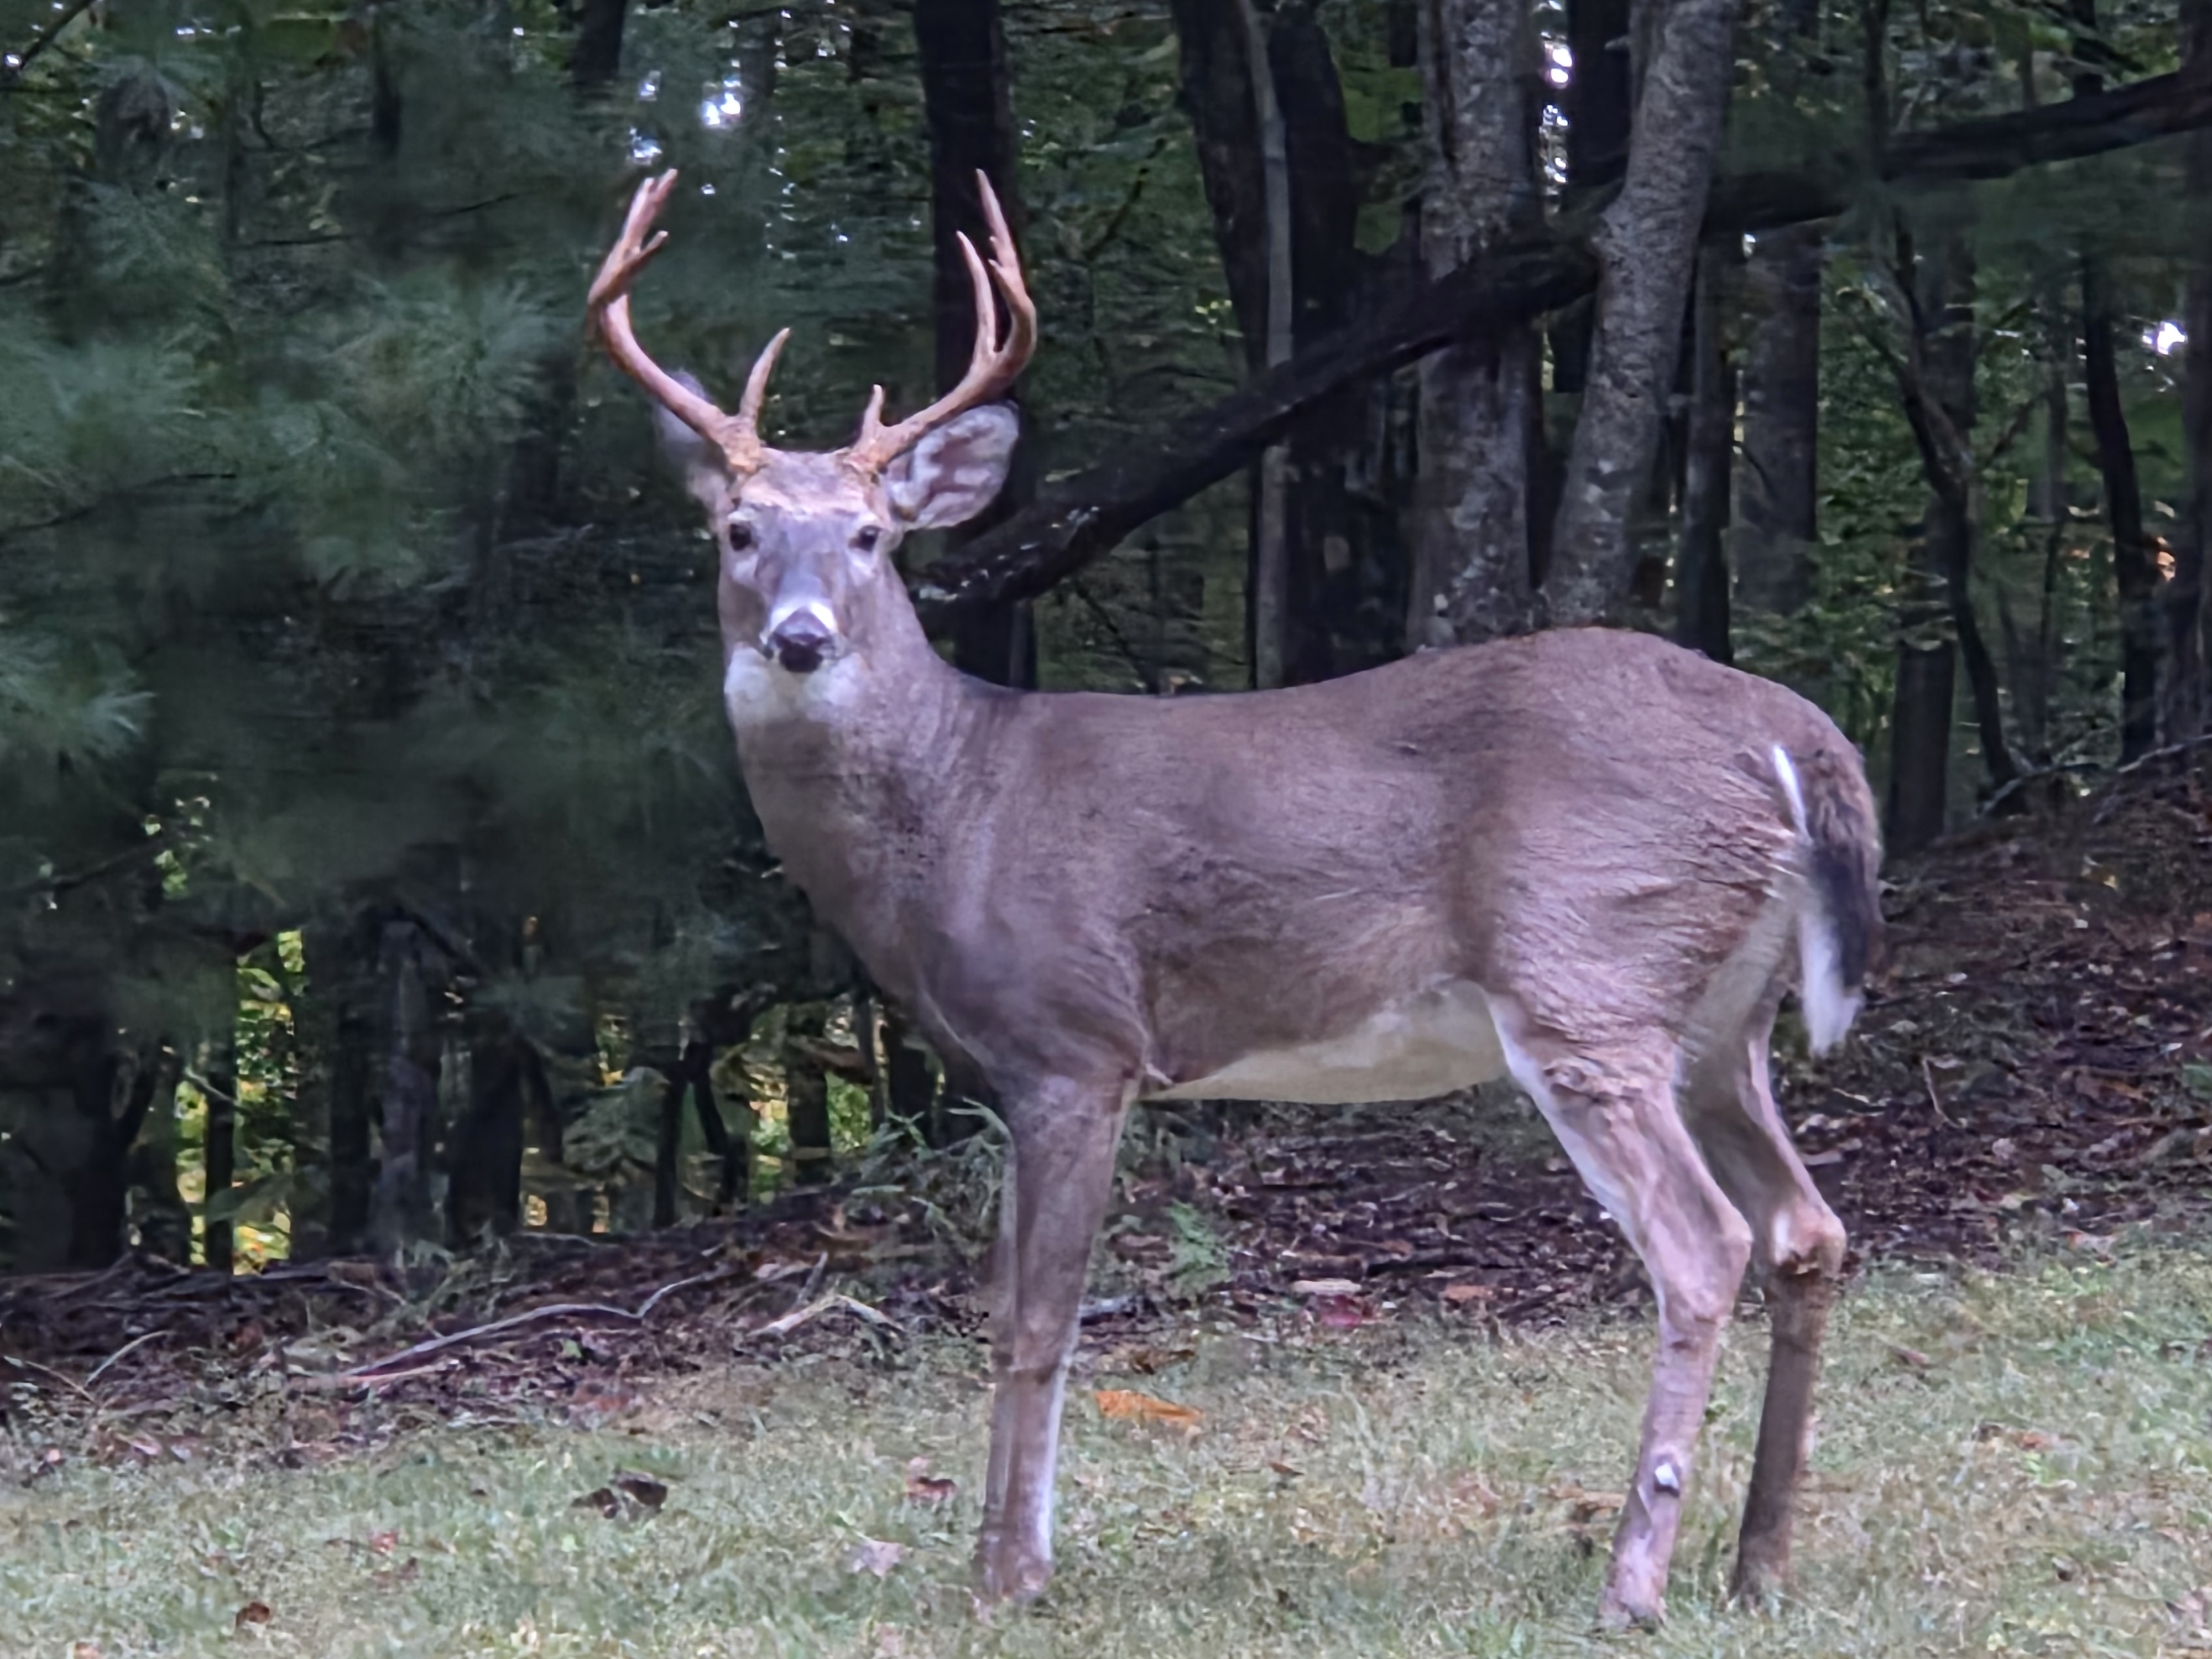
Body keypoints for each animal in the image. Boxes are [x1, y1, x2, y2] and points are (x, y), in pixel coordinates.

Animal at [585, 169, 1884, 1628]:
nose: (800, 636)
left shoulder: (1075, 1043)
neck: (958, 806)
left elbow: (1038, 1316)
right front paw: (1002, 1558)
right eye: (739, 530)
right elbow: (1013, 1307)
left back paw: (1632, 1582)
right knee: (1804, 1227)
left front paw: (1009, 1573)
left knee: (1701, 1242)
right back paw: (1758, 1560)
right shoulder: (1028, 1067)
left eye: (870, 536)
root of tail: (1793, 734)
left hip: (1587, 967)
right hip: (1721, 1015)